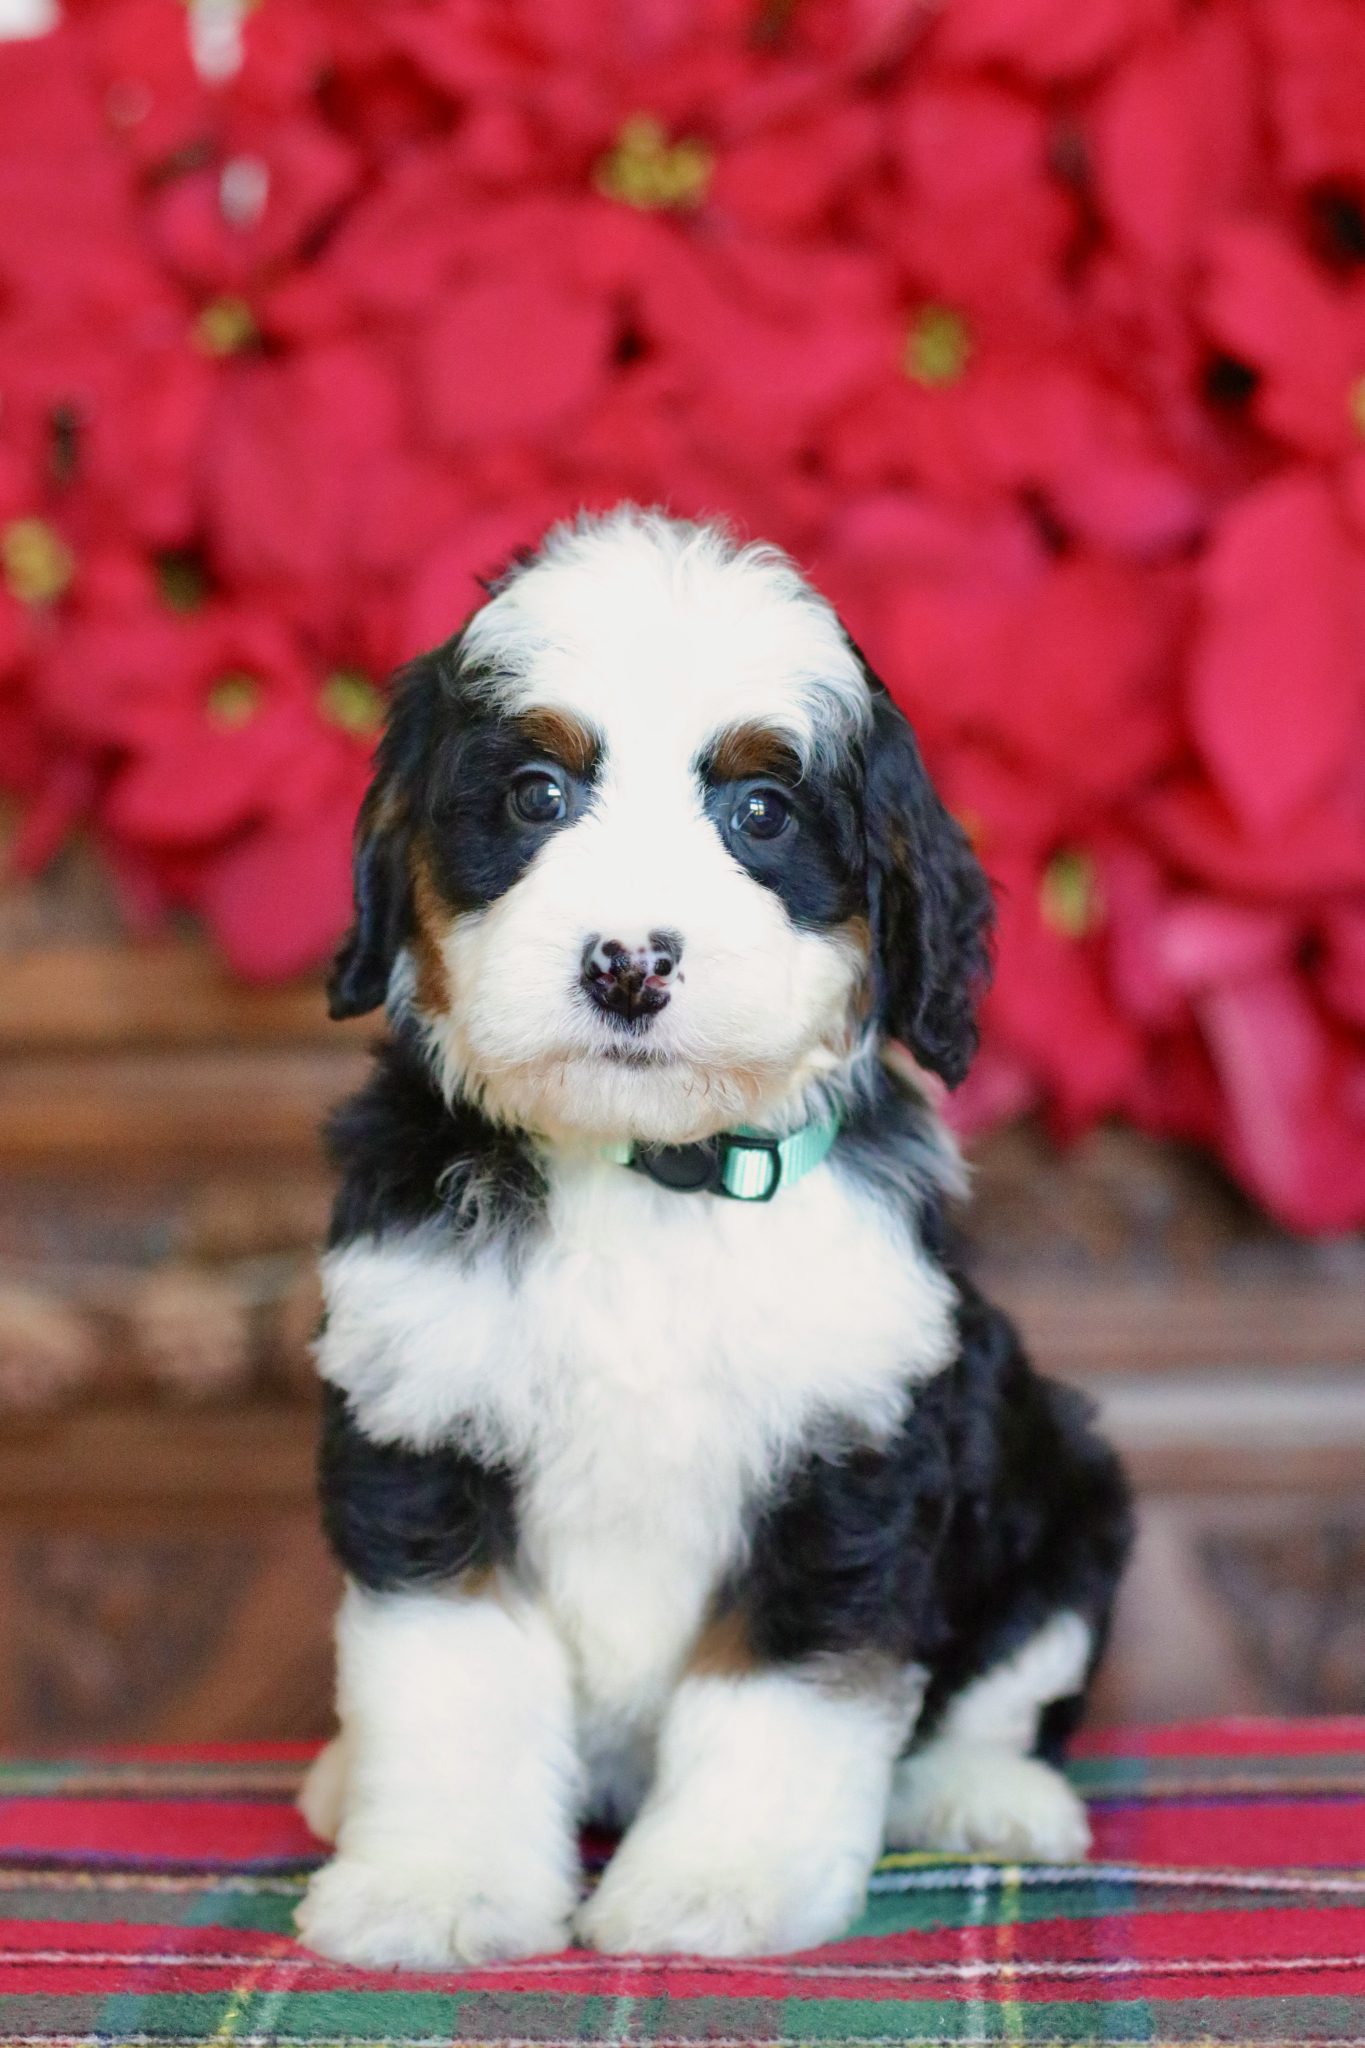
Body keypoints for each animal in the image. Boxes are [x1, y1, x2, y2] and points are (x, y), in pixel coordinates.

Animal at [296, 507, 1129, 1966]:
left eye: (760, 812)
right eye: (534, 795)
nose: (628, 962)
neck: (650, 1173)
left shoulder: (847, 1454)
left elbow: (782, 1692)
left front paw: (712, 1889)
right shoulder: (424, 1428)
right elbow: (450, 1677)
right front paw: (433, 1887)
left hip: (1065, 1484)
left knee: (1004, 1685)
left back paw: (988, 1795)